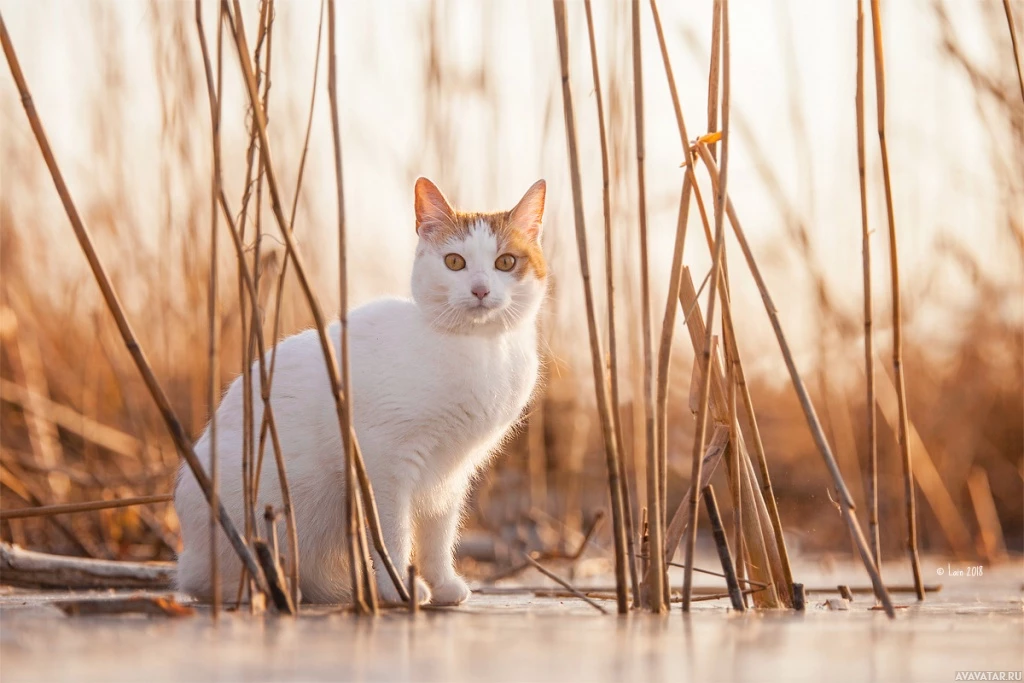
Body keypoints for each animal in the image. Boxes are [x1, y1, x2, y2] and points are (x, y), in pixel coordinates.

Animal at [172, 179, 548, 606]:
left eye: (506, 262)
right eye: (455, 262)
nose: (481, 290)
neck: (482, 350)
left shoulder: (451, 474)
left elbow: (438, 533)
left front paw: (442, 583)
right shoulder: (383, 462)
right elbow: (392, 532)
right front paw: (399, 586)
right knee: (204, 582)